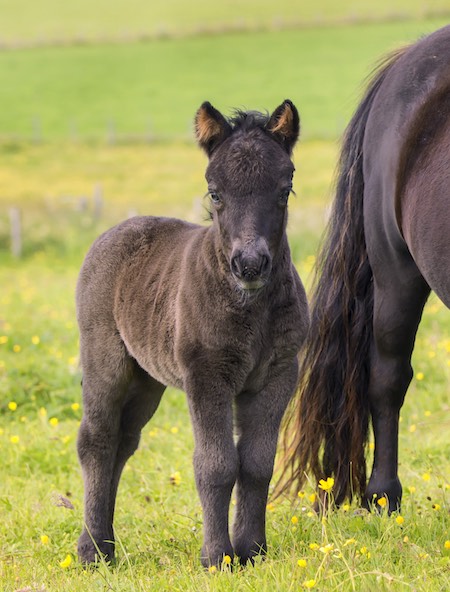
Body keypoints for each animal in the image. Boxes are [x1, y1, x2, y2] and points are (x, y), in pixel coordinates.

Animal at [76, 99, 310, 568]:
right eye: (215, 193)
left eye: (285, 189)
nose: (250, 265)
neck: (251, 311)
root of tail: (115, 232)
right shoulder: (207, 377)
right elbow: (216, 466)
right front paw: (217, 557)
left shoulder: (278, 375)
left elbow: (257, 463)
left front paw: (252, 551)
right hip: (105, 360)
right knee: (97, 441)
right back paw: (91, 550)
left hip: (146, 378)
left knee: (123, 443)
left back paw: (107, 545)